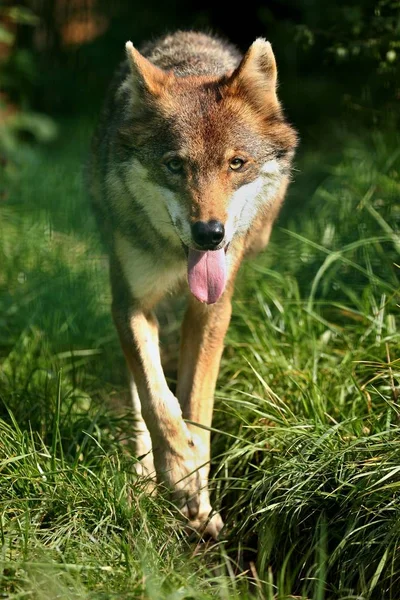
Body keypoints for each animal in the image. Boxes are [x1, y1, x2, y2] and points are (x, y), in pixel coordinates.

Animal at [89, 29, 298, 540]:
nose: (210, 234)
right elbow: (157, 400)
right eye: (175, 165)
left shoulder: (210, 311)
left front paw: (197, 492)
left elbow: (196, 408)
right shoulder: (129, 302)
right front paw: (178, 470)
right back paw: (144, 472)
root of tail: (191, 35)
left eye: (236, 164)